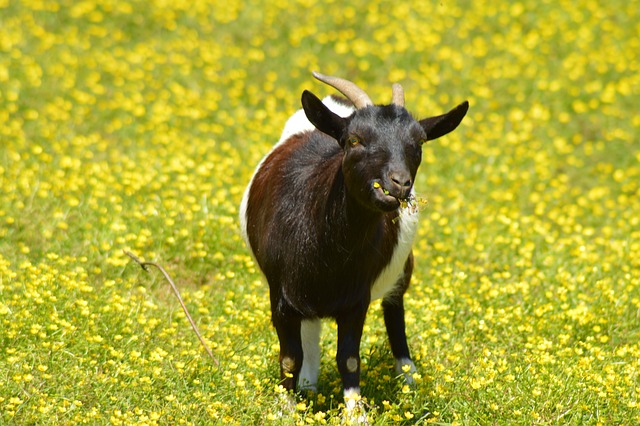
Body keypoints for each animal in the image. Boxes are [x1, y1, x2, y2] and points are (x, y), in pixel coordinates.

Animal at [238, 72, 468, 410]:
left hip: (403, 266)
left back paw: (408, 379)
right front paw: (286, 408)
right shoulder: (279, 294)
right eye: (355, 139)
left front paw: (356, 412)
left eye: (418, 143)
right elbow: (289, 359)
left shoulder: (356, 299)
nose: (398, 184)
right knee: (311, 330)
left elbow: (348, 359)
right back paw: (308, 386)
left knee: (395, 312)